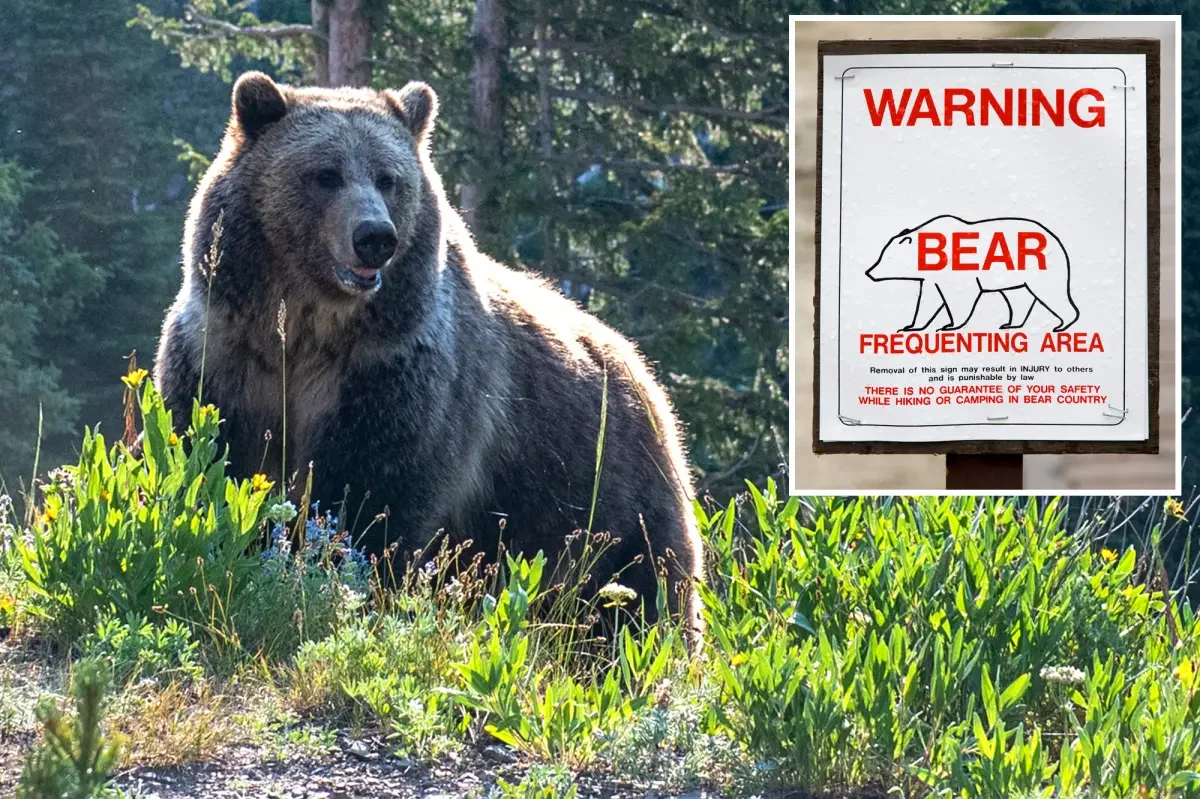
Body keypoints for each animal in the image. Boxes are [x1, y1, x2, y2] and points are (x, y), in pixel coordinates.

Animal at [153, 71, 704, 638]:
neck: (308, 327)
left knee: (641, 594)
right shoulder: (228, 360)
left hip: (604, 495)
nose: (375, 237)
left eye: (388, 178)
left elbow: (370, 500)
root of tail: (647, 378)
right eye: (325, 174)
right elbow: (219, 466)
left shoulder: (394, 375)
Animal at [865, 215, 1079, 333]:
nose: (869, 272)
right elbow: (928, 300)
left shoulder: (957, 268)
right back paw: (1010, 324)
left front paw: (949, 325)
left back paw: (1062, 324)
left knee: (1052, 292)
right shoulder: (933, 276)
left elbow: (959, 296)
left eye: (886, 257)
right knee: (1017, 297)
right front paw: (911, 326)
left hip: (1041, 267)